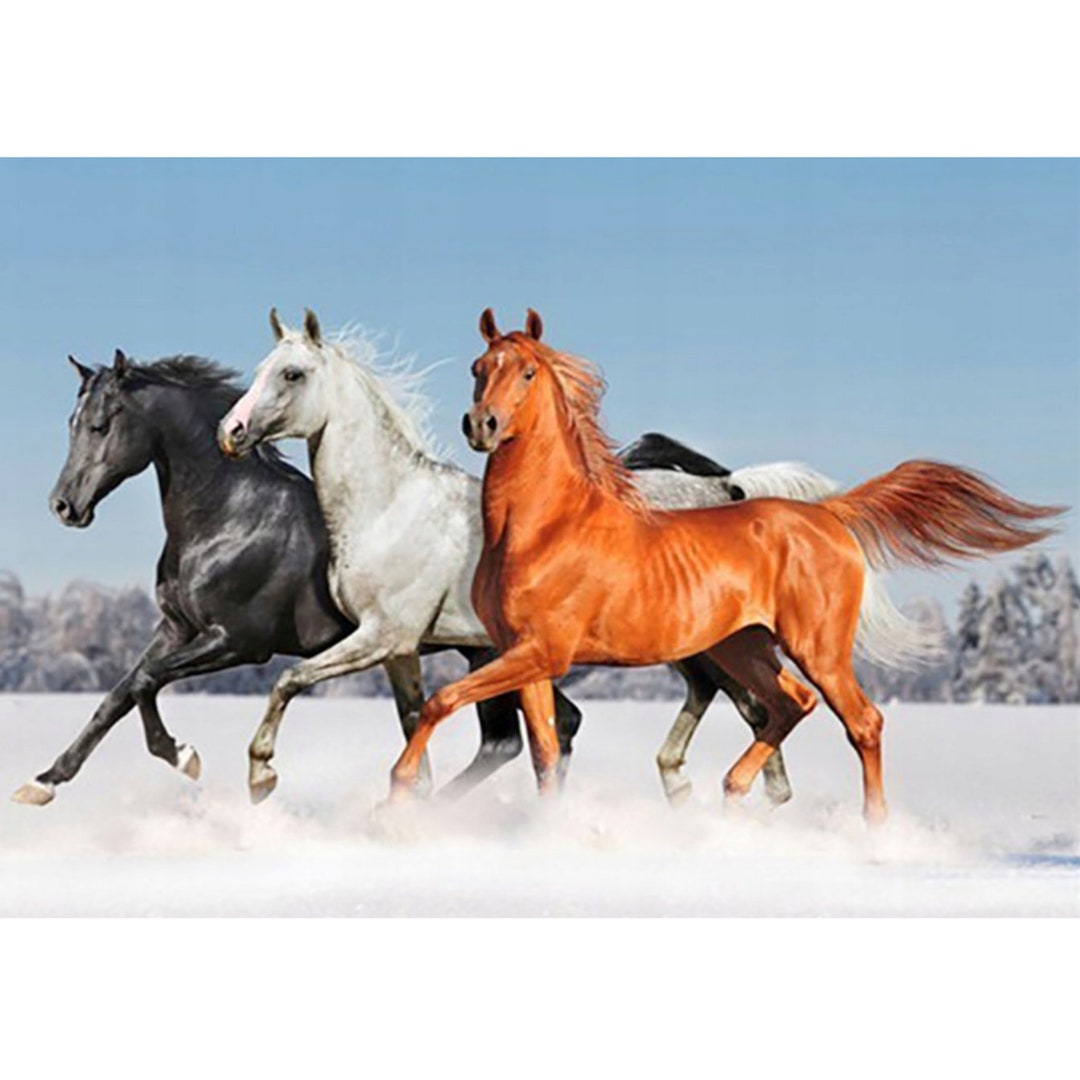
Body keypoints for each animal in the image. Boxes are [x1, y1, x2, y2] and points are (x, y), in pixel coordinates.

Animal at [11, 349, 578, 806]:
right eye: (71, 421)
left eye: (101, 424)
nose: (64, 506)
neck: (231, 515)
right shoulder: (175, 629)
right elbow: (119, 694)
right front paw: (43, 781)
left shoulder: (238, 642)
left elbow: (148, 682)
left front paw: (184, 755)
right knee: (539, 731)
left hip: (488, 651)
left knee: (518, 736)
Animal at [217, 309, 840, 805]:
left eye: (292, 374)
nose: (232, 432)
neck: (391, 504)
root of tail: (726, 488)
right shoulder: (401, 651)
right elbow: (415, 723)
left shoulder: (382, 636)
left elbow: (288, 679)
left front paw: (260, 776)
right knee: (735, 700)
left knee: (755, 705)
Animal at [386, 308, 1063, 823]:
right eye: (479, 369)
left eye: (526, 371)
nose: (482, 424)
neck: (545, 527)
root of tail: (827, 514)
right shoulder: (523, 655)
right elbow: (545, 755)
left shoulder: (542, 652)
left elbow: (440, 701)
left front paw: (394, 794)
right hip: (744, 646)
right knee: (788, 705)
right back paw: (732, 793)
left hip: (816, 647)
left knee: (861, 721)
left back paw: (873, 831)